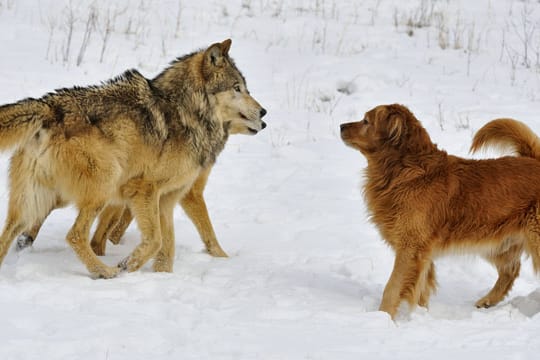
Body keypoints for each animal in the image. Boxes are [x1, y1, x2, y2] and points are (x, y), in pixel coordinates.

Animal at [0, 39, 266, 278]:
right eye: (237, 88)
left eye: (244, 87)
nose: (264, 112)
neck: (185, 112)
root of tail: (49, 107)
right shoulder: (144, 189)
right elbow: (157, 240)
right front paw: (129, 265)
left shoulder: (167, 199)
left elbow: (167, 246)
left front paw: (161, 275)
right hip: (103, 185)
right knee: (75, 235)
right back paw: (105, 271)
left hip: (34, 203)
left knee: (12, 233)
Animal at [340, 103, 540, 318]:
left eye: (366, 121)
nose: (341, 126)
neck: (407, 170)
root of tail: (534, 160)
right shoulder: (423, 253)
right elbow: (420, 287)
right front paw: (419, 314)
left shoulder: (410, 248)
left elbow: (393, 287)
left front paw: (383, 317)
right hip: (495, 242)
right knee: (511, 270)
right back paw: (487, 301)